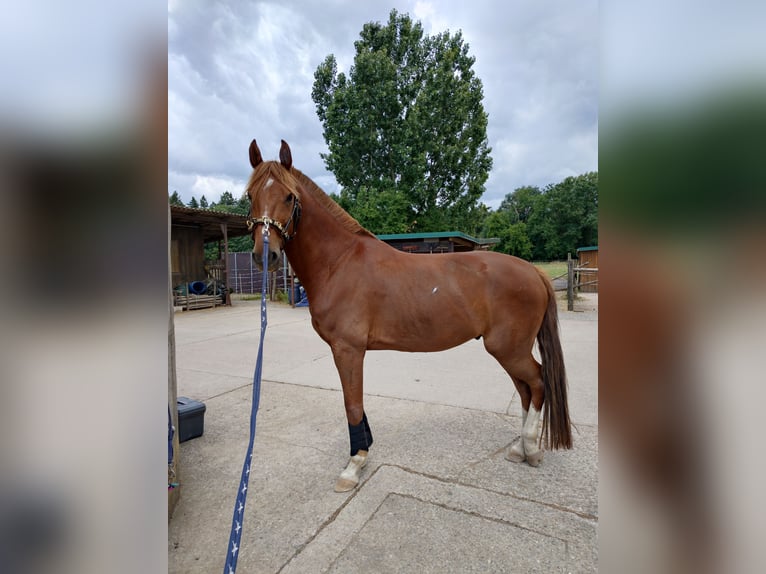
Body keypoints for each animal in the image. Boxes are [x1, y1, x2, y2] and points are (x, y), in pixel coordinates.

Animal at [245, 139, 572, 492]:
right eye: (250, 196)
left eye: (289, 196)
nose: (266, 255)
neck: (340, 262)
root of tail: (534, 272)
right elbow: (356, 404)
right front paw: (363, 452)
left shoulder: (348, 350)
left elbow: (352, 404)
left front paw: (353, 465)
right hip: (509, 350)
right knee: (526, 389)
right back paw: (519, 449)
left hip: (509, 349)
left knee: (537, 383)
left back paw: (531, 449)